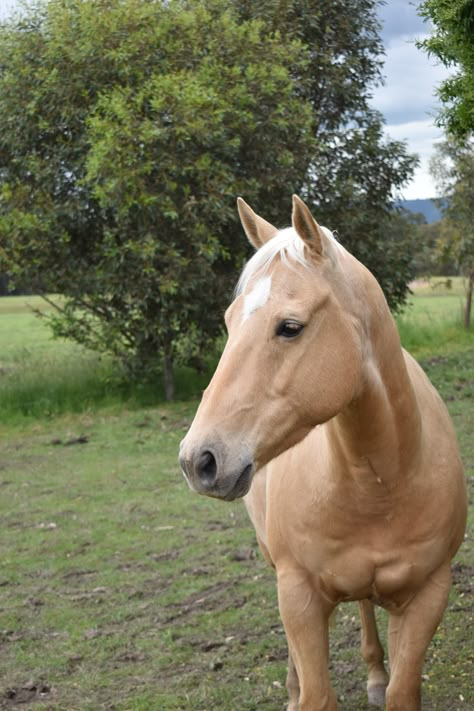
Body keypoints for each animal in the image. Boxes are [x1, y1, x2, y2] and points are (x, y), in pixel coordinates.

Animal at [181, 195, 466, 711]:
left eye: (290, 327)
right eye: (230, 323)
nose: (198, 460)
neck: (383, 482)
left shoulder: (427, 595)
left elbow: (402, 690)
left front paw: (383, 680)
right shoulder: (299, 596)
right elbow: (316, 693)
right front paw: (301, 693)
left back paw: (374, 672)